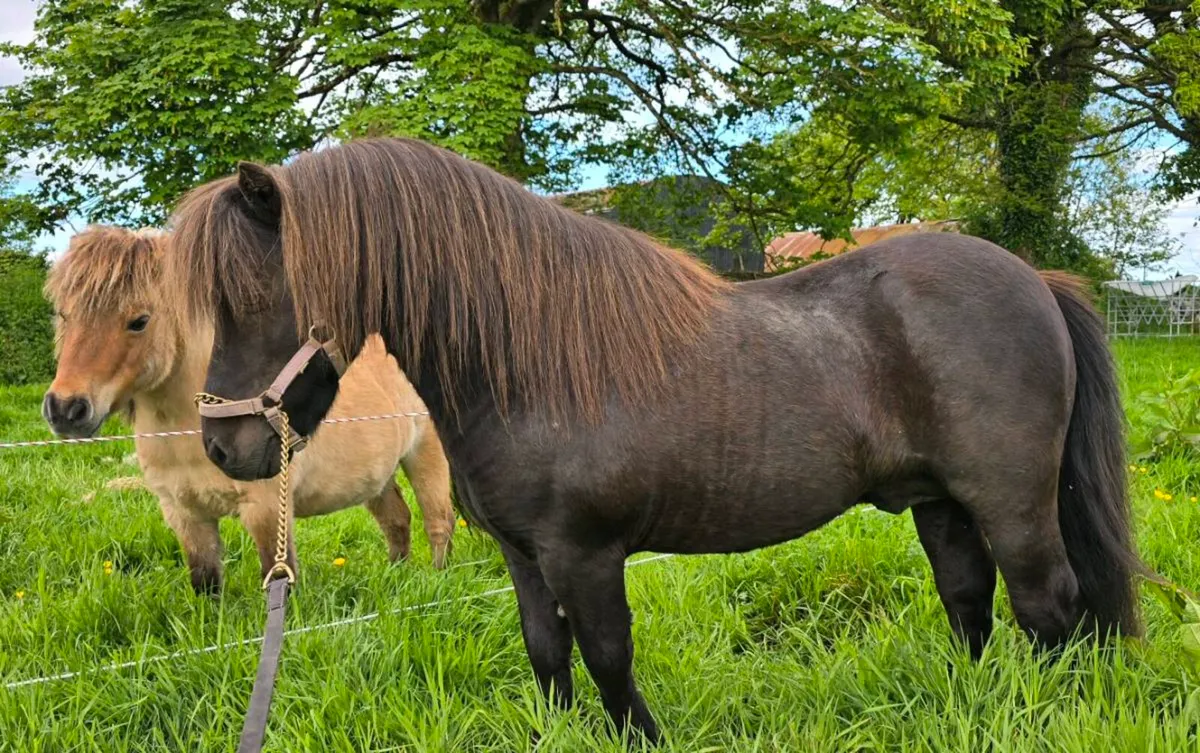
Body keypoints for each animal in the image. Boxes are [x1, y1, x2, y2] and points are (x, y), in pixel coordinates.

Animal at [43, 225, 456, 593]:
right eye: (64, 315)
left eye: (139, 321)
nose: (65, 409)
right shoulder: (185, 515)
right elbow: (206, 585)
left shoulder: (267, 510)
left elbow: (280, 580)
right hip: (377, 476)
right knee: (397, 521)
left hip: (427, 455)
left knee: (439, 523)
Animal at [164, 137, 1142, 744]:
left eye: (255, 295)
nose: (224, 449)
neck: (531, 361)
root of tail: (1035, 280)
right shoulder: (523, 554)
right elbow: (546, 652)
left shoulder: (587, 552)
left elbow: (607, 656)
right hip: (939, 501)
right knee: (970, 599)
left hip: (1012, 501)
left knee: (1049, 606)